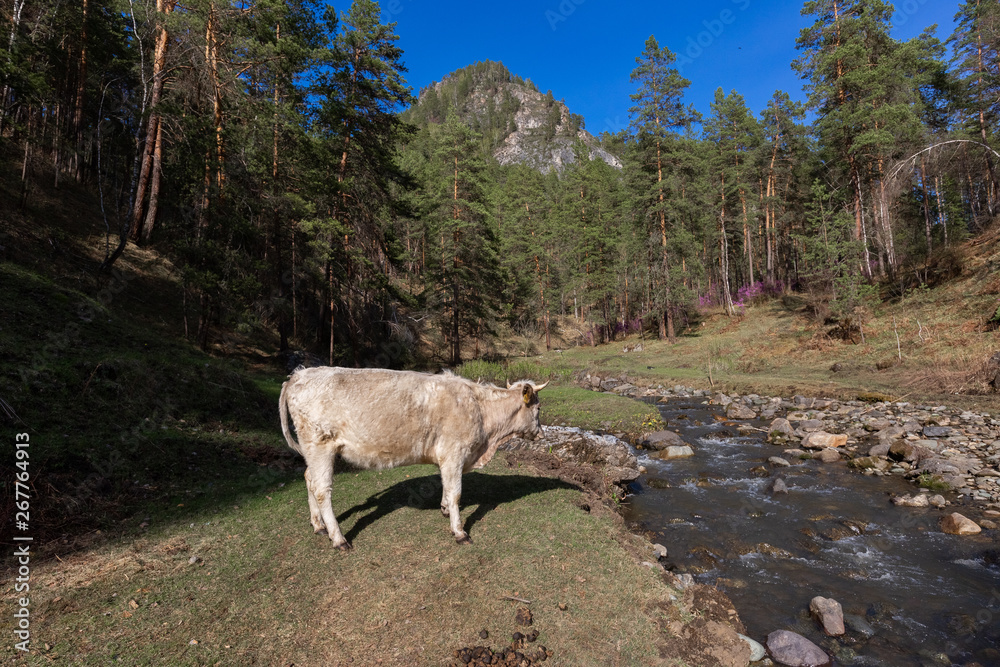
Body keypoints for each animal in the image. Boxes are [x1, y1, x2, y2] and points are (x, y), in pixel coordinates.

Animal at [278, 367, 547, 550]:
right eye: (538, 408)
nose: (542, 434)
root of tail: (299, 374)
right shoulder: (454, 453)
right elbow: (456, 492)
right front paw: (459, 531)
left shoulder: (446, 457)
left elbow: (446, 486)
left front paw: (444, 508)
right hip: (320, 446)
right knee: (322, 490)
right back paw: (338, 538)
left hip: (313, 451)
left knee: (309, 479)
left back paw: (318, 526)